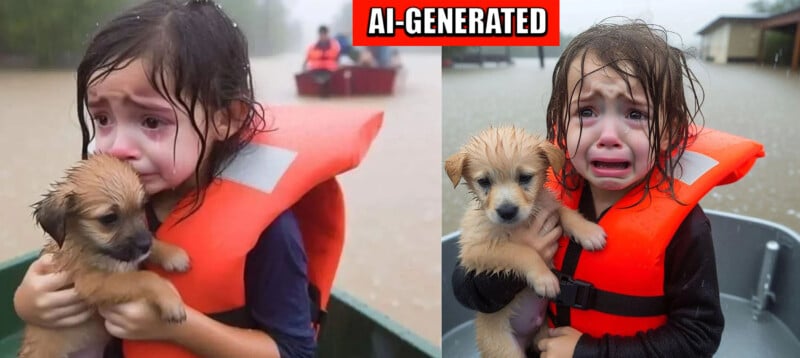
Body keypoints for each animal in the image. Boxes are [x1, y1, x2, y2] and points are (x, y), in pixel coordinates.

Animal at [18, 154, 190, 358]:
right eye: (109, 218)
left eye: (141, 207)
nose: (144, 245)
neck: (89, 246)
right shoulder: (92, 282)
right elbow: (143, 277)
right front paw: (170, 298)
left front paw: (173, 254)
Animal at [444, 126, 608, 358]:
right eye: (484, 182)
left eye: (525, 178)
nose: (507, 211)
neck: (518, 224)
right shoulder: (475, 250)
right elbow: (522, 251)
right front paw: (544, 278)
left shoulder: (547, 205)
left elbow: (565, 211)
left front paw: (588, 231)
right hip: (505, 350)